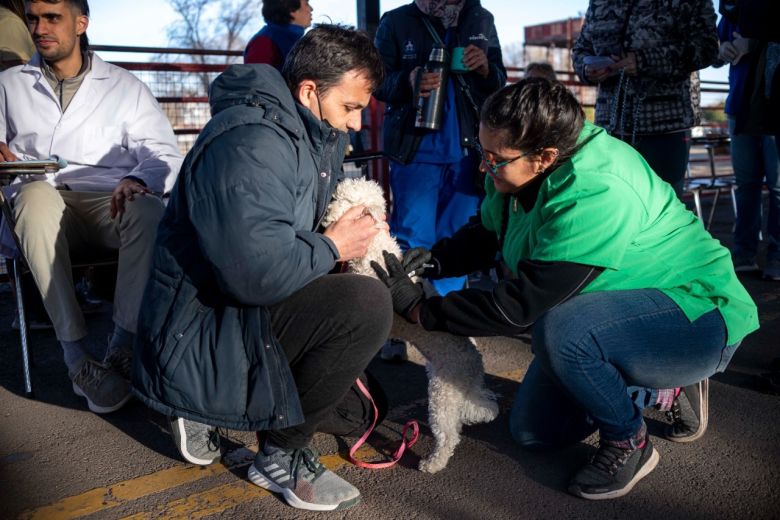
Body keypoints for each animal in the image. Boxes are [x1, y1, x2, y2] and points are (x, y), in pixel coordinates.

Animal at [322, 177, 500, 474]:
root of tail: (475, 362)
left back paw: (433, 464)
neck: (374, 244)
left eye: (342, 199)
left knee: (448, 436)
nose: (325, 213)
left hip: (442, 394)